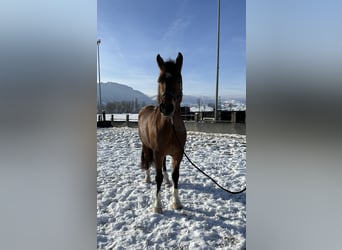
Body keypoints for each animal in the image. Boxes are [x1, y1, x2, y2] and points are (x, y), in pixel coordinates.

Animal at [138, 52, 187, 213]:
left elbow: (176, 175)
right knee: (147, 160)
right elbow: (157, 177)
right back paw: (147, 178)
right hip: (146, 146)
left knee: (164, 166)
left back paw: (166, 181)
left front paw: (176, 203)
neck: (170, 127)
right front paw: (158, 205)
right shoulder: (158, 152)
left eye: (178, 79)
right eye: (159, 80)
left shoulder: (177, 154)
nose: (166, 108)